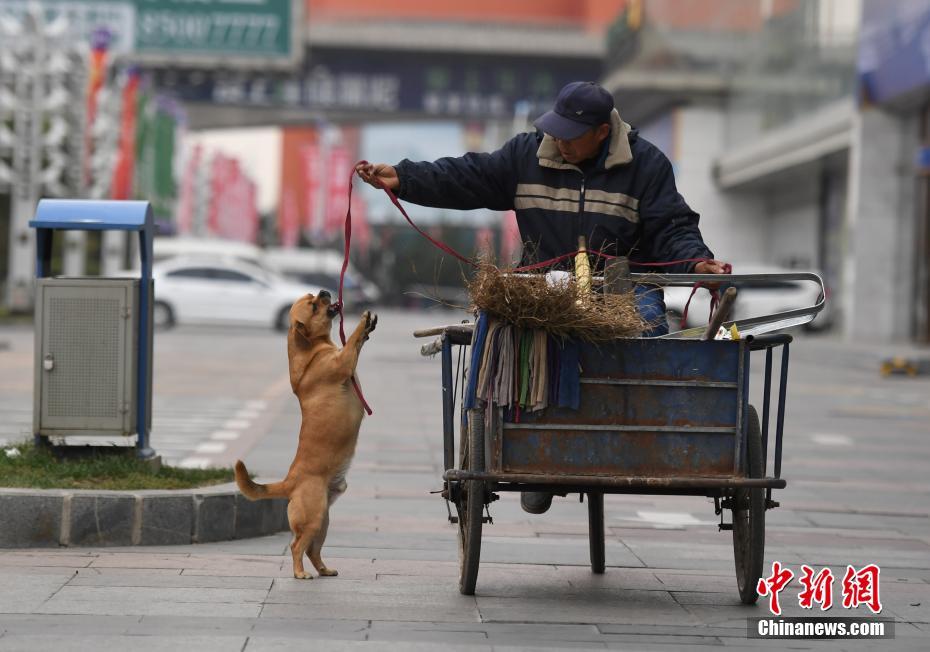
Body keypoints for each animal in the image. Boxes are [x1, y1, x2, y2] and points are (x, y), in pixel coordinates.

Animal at [234, 292, 376, 580]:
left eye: (313, 297)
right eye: (313, 306)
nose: (323, 291)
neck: (316, 348)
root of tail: (289, 481)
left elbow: (356, 343)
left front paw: (368, 327)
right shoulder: (343, 362)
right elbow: (352, 342)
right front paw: (362, 323)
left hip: (323, 522)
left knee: (312, 549)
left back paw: (324, 569)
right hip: (314, 517)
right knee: (297, 545)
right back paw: (300, 573)